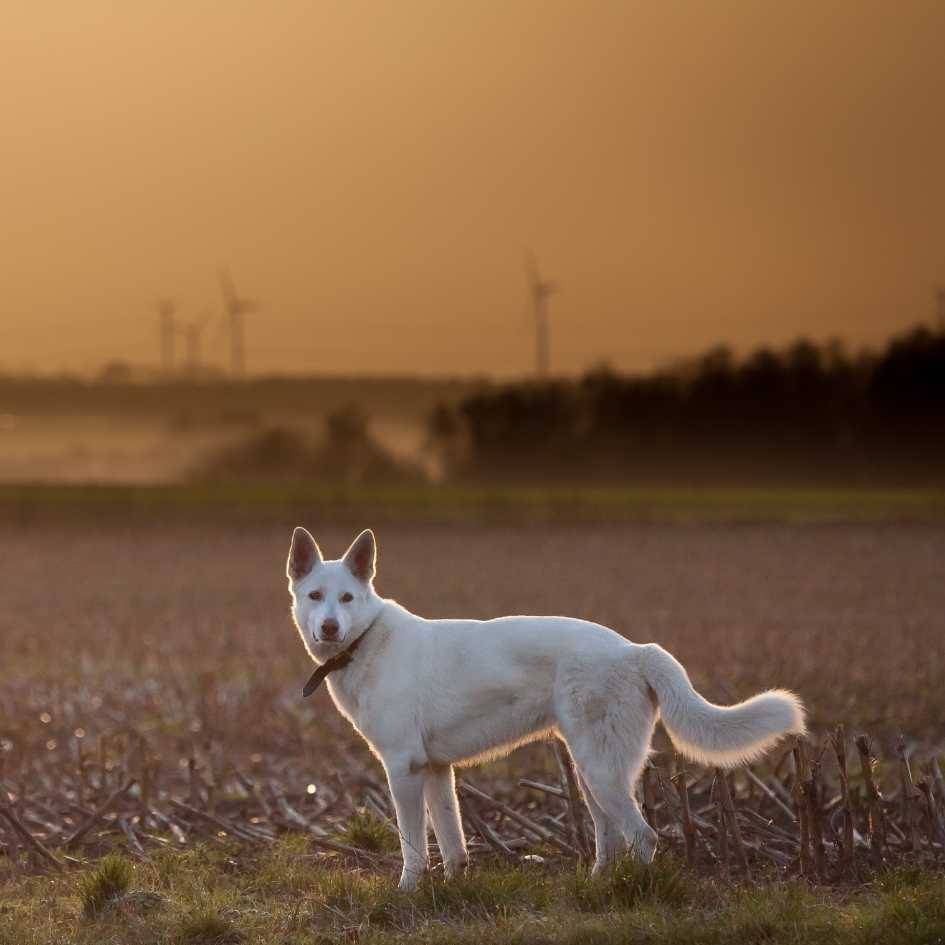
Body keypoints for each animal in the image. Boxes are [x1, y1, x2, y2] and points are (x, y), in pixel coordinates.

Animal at [286, 528, 804, 888]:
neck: (367, 641)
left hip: (601, 771)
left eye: (347, 598)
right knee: (611, 838)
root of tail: (635, 650)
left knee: (644, 836)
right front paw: (451, 891)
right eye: (315, 596)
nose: (329, 627)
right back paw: (595, 888)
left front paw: (407, 893)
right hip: (590, 772)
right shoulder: (435, 770)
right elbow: (452, 845)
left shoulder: (403, 770)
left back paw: (636, 893)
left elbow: (413, 847)